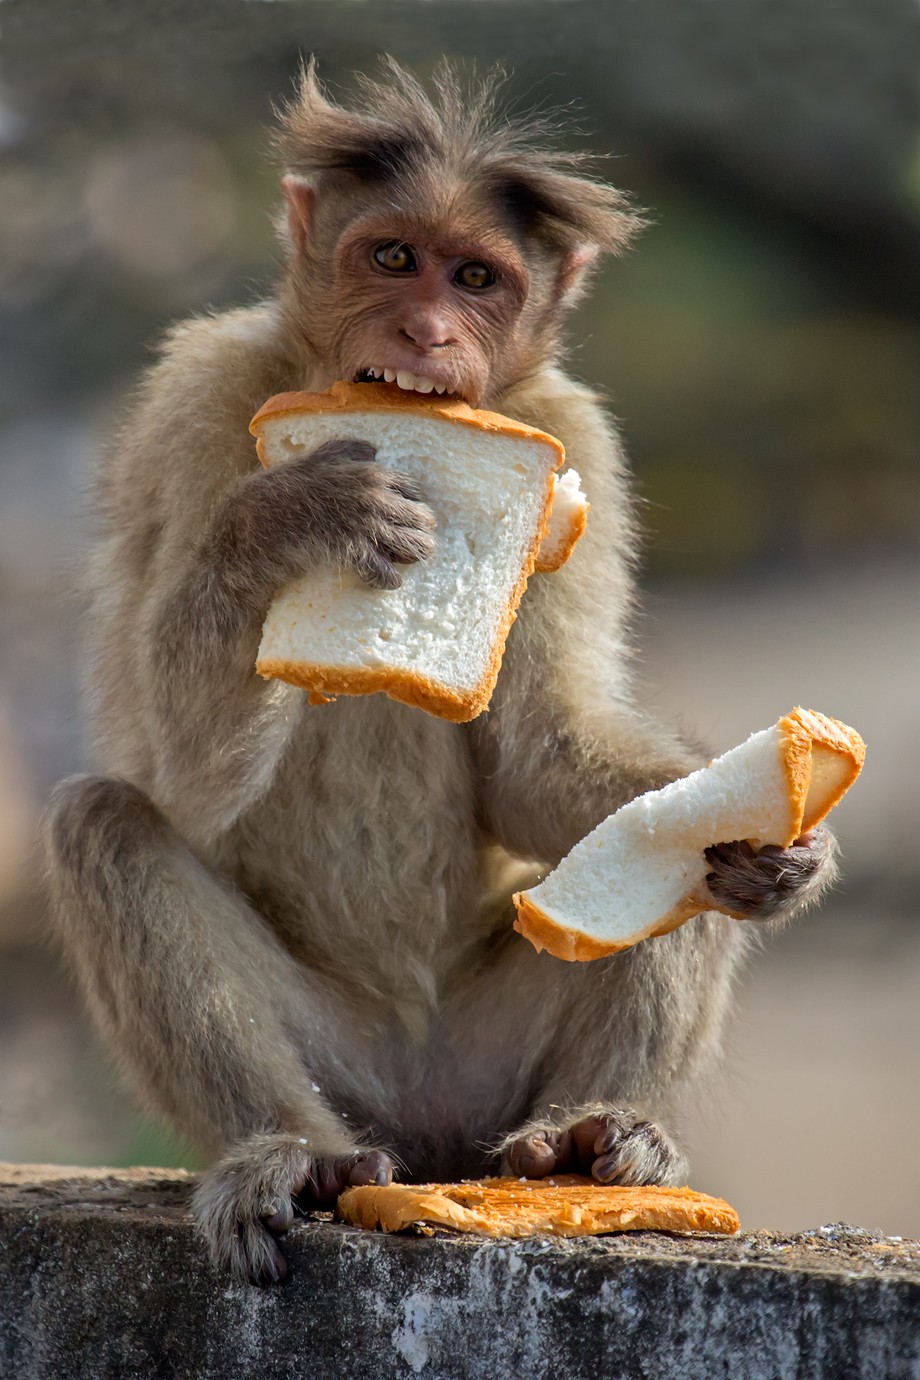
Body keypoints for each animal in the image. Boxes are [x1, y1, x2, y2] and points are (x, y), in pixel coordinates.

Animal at [39, 59, 838, 1286]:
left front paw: (780, 860)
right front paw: (291, 516)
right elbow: (181, 782)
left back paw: (588, 1137)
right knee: (106, 823)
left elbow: (538, 759)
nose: (424, 328)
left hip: (486, 1067)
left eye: (474, 278)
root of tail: (427, 1120)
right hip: (345, 1060)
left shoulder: (573, 438)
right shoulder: (196, 401)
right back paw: (299, 1158)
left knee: (673, 876)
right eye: (391, 258)